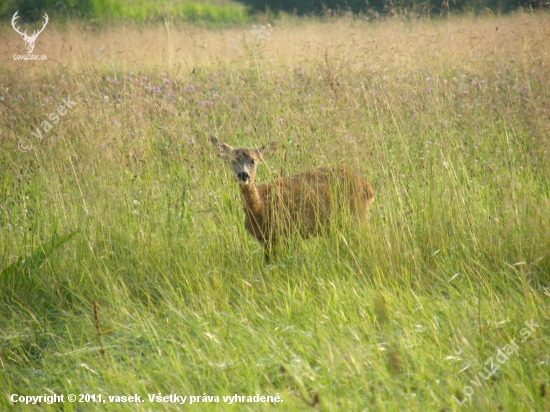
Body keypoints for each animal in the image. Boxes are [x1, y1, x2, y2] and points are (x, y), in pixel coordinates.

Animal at [211, 137, 376, 262]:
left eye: (253, 160)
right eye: (232, 161)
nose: (243, 175)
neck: (260, 207)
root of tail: (368, 187)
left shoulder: (288, 231)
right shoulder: (266, 240)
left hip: (357, 214)